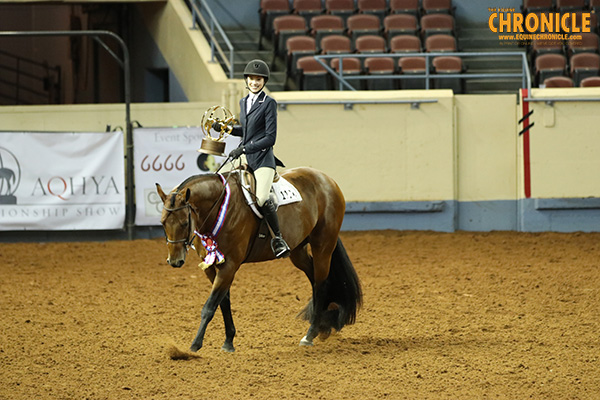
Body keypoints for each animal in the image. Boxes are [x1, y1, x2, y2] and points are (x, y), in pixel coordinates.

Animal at [155, 166, 360, 354]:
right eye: (162, 222)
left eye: (184, 223)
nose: (175, 261)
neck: (219, 208)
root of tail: (327, 180)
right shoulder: (211, 267)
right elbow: (223, 302)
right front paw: (228, 342)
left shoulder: (229, 265)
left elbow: (210, 306)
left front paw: (194, 346)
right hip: (298, 251)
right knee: (314, 280)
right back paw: (322, 327)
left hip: (323, 246)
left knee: (321, 284)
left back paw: (310, 335)